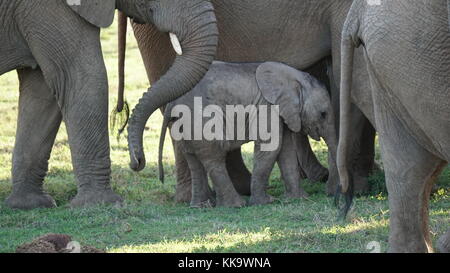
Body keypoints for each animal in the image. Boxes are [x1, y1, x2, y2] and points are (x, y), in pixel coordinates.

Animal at [156, 61, 336, 206]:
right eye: (323, 114)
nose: (328, 192)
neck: (295, 78)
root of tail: (173, 102)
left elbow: (286, 151)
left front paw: (299, 199)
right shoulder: (267, 107)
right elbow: (270, 148)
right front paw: (265, 202)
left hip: (185, 123)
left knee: (193, 158)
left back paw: (201, 206)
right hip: (200, 119)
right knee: (214, 156)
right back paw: (236, 205)